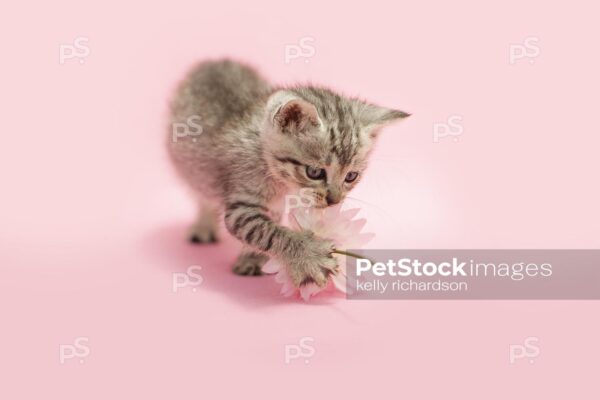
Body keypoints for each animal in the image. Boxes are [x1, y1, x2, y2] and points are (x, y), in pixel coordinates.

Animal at [166, 59, 410, 290]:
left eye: (351, 176)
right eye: (314, 172)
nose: (334, 200)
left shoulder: (274, 206)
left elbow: (269, 226)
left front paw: (252, 258)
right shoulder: (241, 204)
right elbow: (266, 231)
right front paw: (308, 254)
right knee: (202, 193)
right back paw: (204, 225)